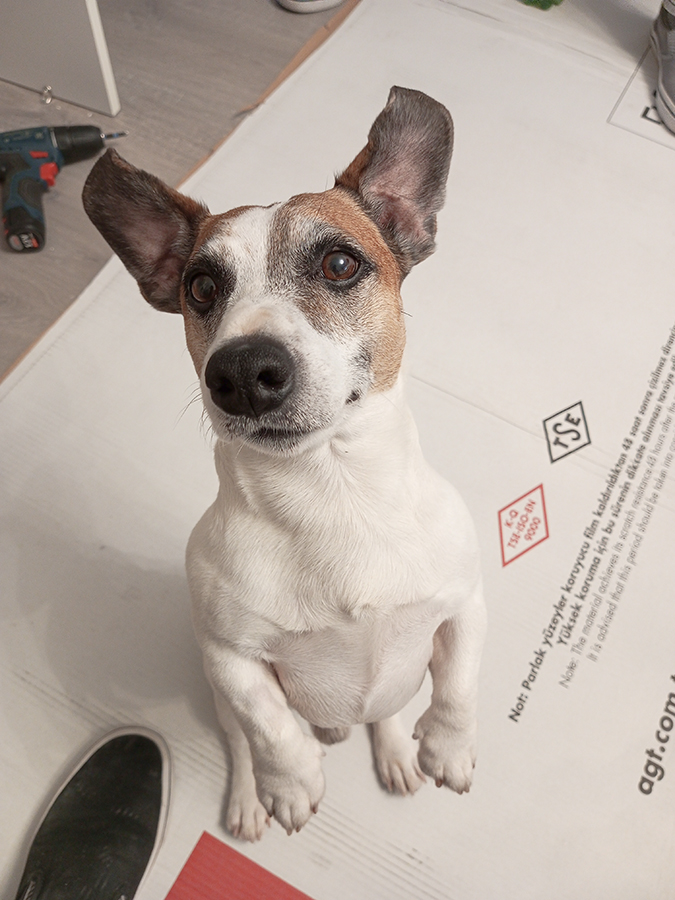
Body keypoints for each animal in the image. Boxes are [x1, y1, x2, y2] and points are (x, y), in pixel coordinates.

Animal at [82, 86, 486, 842]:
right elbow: (270, 728)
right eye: (201, 287)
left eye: (339, 265)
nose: (241, 371)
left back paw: (393, 750)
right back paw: (255, 795)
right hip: (215, 696)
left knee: (387, 710)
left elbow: (458, 686)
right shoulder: (230, 659)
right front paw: (291, 784)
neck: (333, 491)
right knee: (243, 744)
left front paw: (447, 747)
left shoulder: (464, 606)